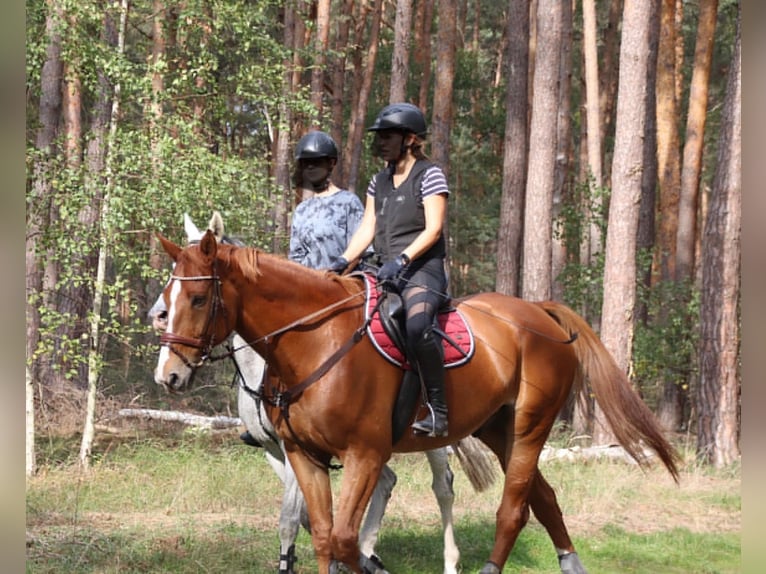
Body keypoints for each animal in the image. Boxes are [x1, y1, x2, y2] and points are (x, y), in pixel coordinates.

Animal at [153, 231, 680, 574]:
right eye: (166, 295)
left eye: (197, 299)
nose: (169, 374)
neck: (315, 341)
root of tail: (538, 312)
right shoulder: (304, 454)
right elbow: (320, 534)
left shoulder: (365, 456)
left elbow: (345, 540)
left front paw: (369, 559)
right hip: (497, 428)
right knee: (544, 498)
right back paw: (570, 564)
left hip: (529, 425)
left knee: (510, 508)